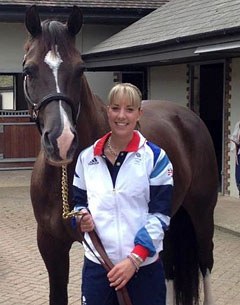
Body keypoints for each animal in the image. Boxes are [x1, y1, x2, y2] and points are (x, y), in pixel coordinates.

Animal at [23, 4, 218, 304]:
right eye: (29, 69)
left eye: (80, 69)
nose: (62, 140)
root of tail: (188, 116)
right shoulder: (50, 245)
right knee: (169, 267)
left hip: (202, 213)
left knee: (205, 262)